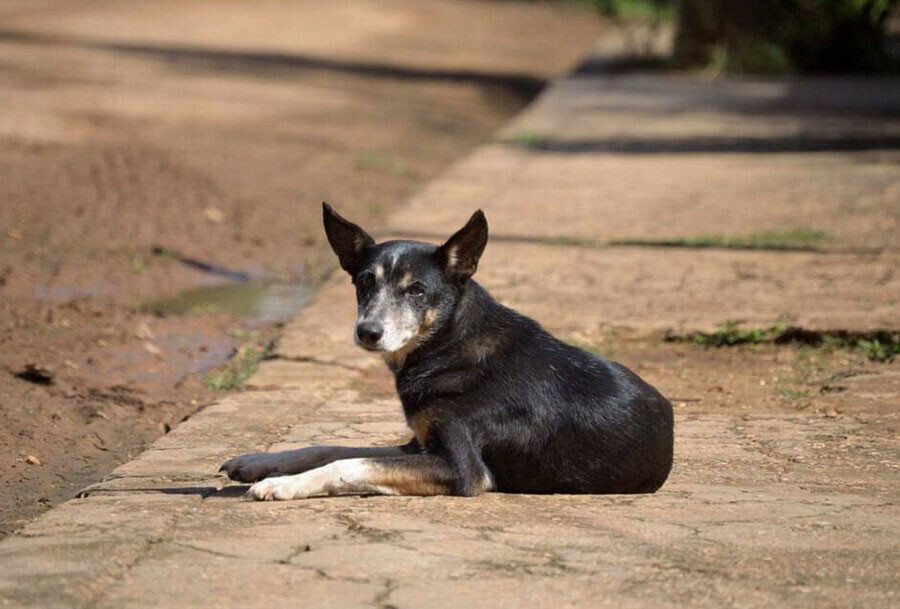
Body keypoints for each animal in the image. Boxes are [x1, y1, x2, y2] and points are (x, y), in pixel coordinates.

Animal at [221, 204, 672, 498]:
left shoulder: (461, 469)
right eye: (364, 282)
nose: (367, 332)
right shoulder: (418, 444)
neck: (448, 344)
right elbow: (330, 448)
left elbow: (348, 464)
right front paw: (257, 462)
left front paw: (282, 484)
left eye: (416, 290)